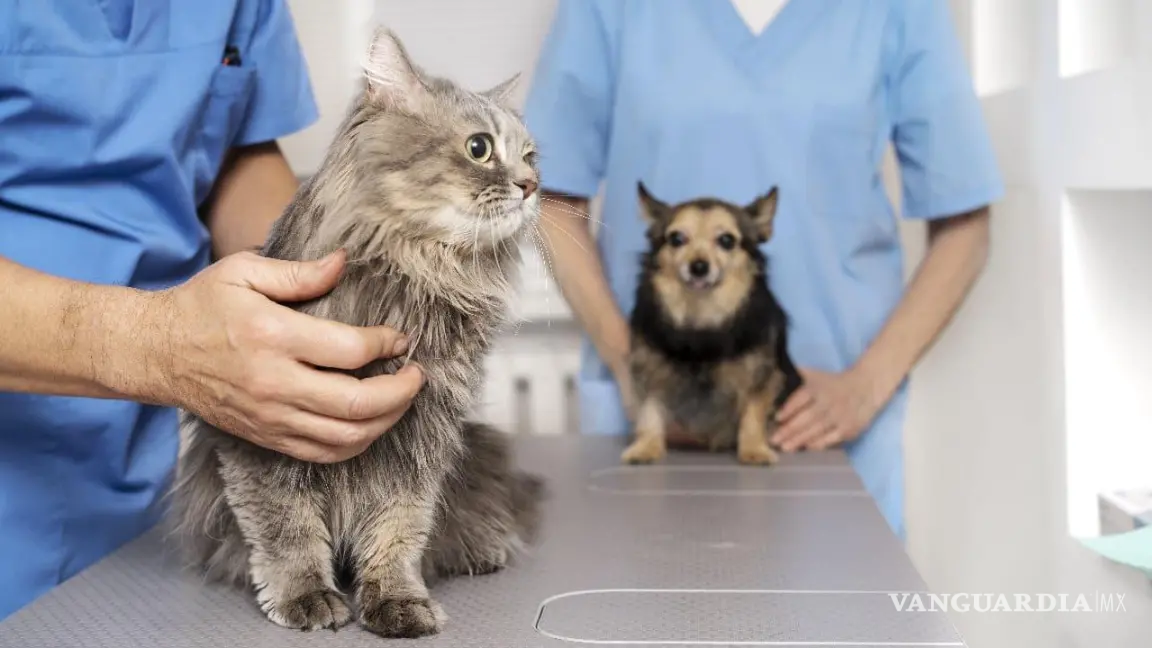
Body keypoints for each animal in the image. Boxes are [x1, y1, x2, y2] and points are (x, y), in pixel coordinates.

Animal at [168, 28, 548, 636]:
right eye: (479, 148)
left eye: (532, 156)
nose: (531, 185)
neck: (417, 275)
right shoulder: (260, 438)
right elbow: (286, 529)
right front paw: (306, 596)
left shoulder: (420, 439)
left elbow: (398, 531)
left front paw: (397, 600)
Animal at [622, 182, 801, 463]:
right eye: (676, 239)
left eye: (726, 241)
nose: (698, 266)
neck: (702, 314)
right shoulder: (649, 368)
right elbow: (650, 409)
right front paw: (646, 447)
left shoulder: (761, 375)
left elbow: (753, 412)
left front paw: (754, 450)